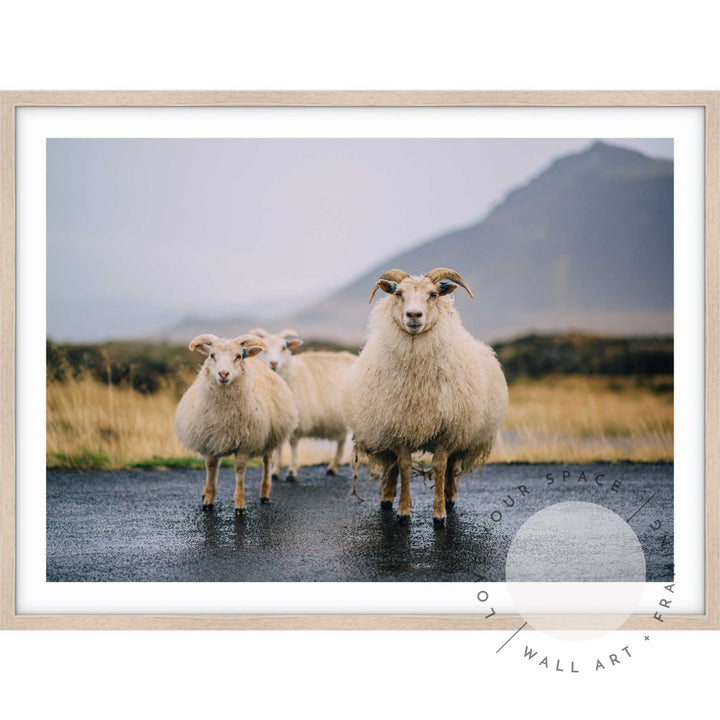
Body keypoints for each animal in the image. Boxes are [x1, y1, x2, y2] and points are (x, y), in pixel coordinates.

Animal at [176, 334, 300, 516]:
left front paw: (240, 504)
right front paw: (208, 500)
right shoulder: (210, 441)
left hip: (269, 437)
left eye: (238, 356)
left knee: (267, 463)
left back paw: (265, 493)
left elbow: (239, 471)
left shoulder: (244, 443)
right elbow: (211, 469)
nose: (223, 373)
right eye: (212, 355)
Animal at [344, 268, 510, 524]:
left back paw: (450, 497)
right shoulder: (399, 428)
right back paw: (386, 498)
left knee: (452, 465)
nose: (414, 315)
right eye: (398, 293)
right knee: (391, 464)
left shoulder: (447, 431)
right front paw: (403, 510)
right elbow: (403, 466)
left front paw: (439, 514)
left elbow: (441, 467)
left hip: (462, 431)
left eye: (433, 294)